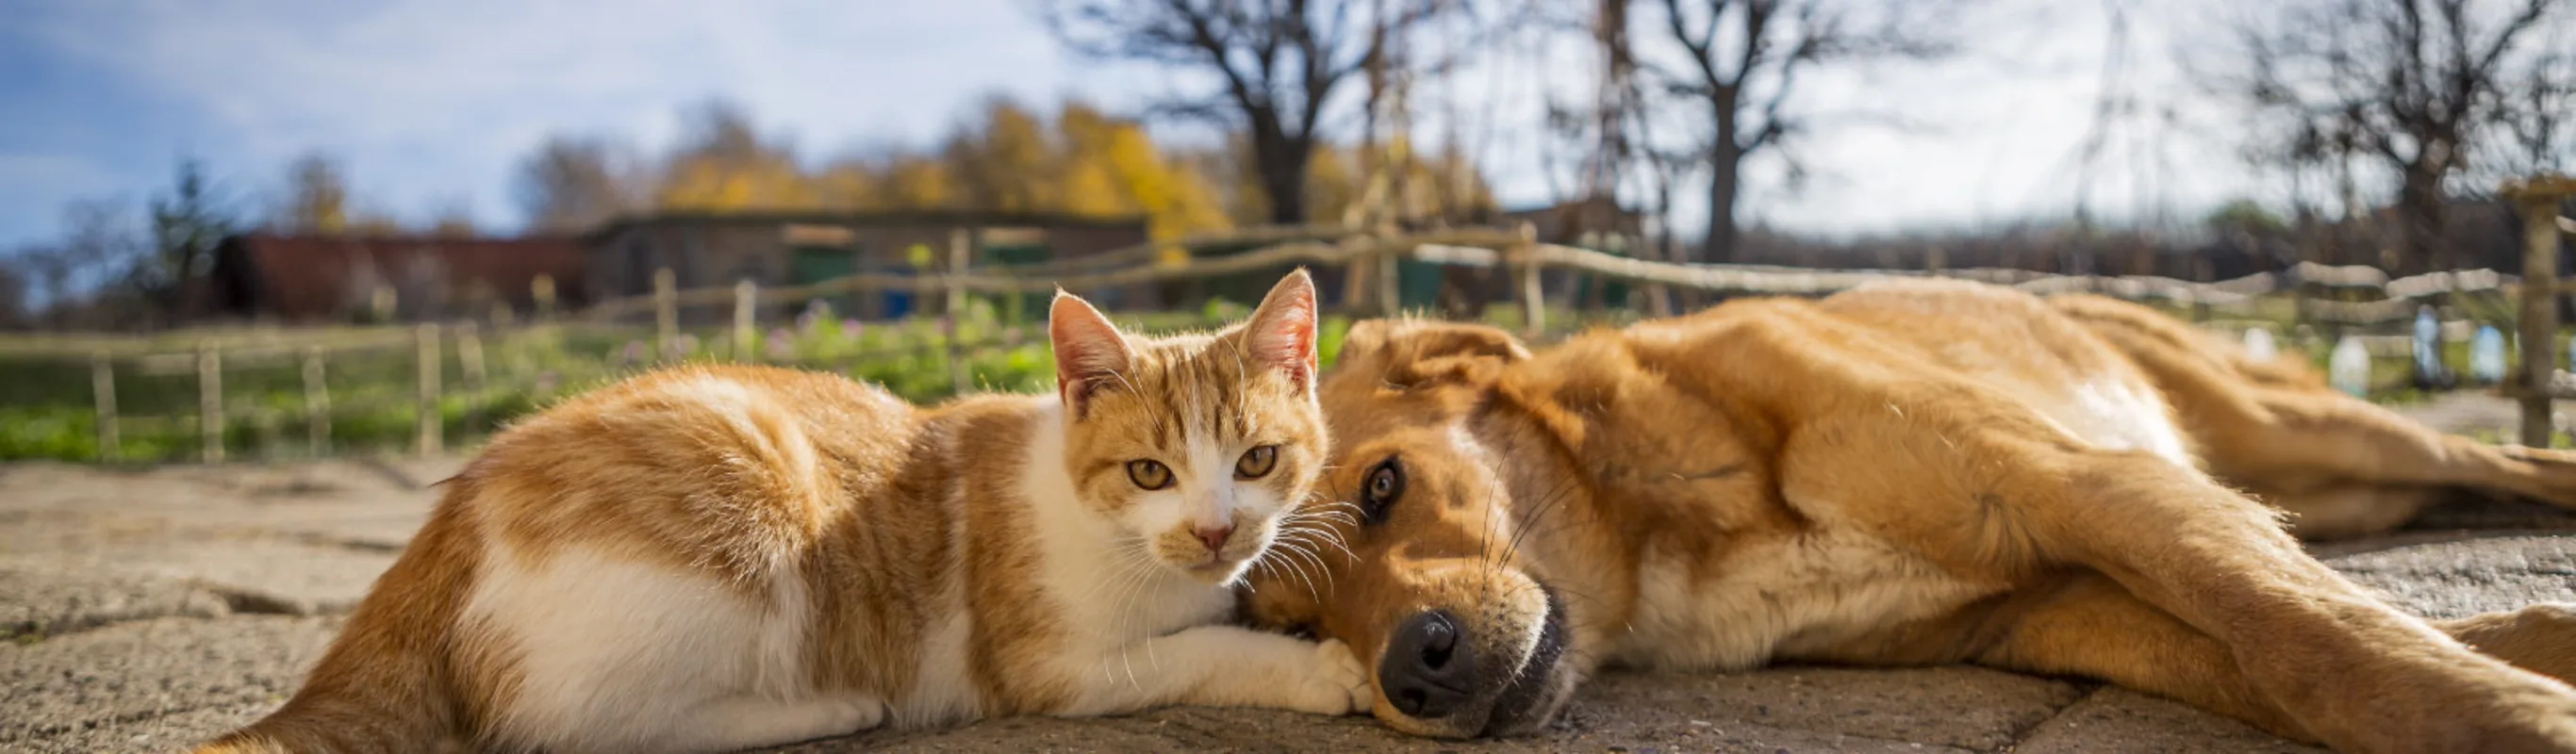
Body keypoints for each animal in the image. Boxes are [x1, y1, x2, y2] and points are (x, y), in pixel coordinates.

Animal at [195, 270, 1370, 751]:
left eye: (1256, 459)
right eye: (1148, 472)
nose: (1214, 528)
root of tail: (458, 503)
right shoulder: (1052, 667)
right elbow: (1193, 651)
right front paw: (1318, 668)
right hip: (744, 511)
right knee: (574, 724)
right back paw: (824, 707)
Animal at [1236, 280, 2576, 751]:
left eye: (1383, 486)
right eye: (1296, 629)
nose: (1411, 668)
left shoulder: (2088, 485)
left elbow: (2315, 638)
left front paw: (2516, 711)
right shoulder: (2052, 609)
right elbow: (2283, 661)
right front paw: (2527, 655)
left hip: (2316, 435)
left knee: (2503, 459)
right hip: (2330, 483)